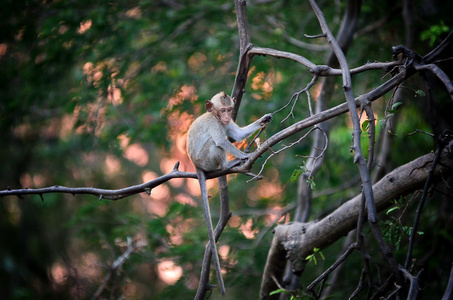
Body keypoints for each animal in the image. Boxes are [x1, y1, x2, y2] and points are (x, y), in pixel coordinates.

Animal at [185, 91, 270, 296]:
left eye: (229, 110)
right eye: (222, 110)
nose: (226, 117)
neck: (215, 117)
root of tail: (195, 165)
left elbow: (237, 134)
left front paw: (264, 119)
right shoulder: (215, 124)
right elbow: (222, 141)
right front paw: (245, 155)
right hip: (205, 159)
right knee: (215, 144)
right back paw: (227, 164)